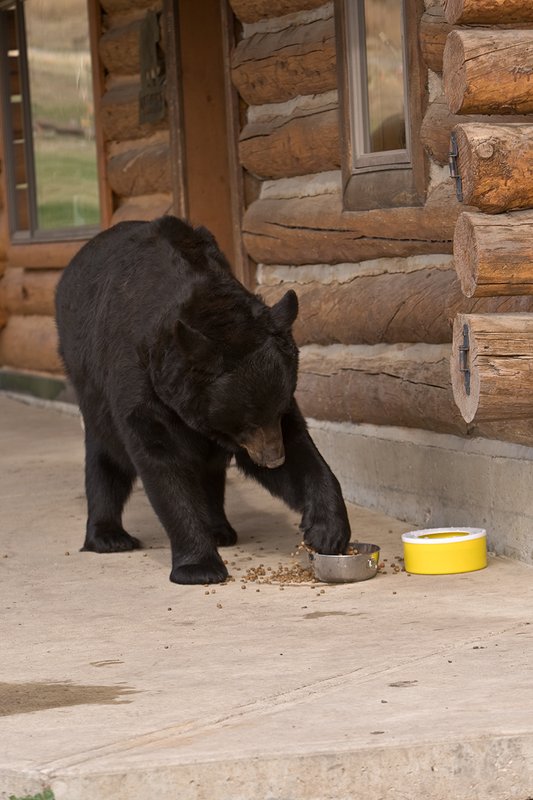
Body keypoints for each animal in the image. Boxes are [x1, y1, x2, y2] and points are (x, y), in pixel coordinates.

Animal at [55, 216, 351, 584]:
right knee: (106, 456)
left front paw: (327, 529)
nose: (272, 459)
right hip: (89, 386)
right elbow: (162, 463)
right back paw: (108, 536)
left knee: (210, 470)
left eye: (277, 410)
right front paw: (199, 566)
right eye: (246, 421)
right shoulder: (142, 385)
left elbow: (301, 449)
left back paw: (220, 529)